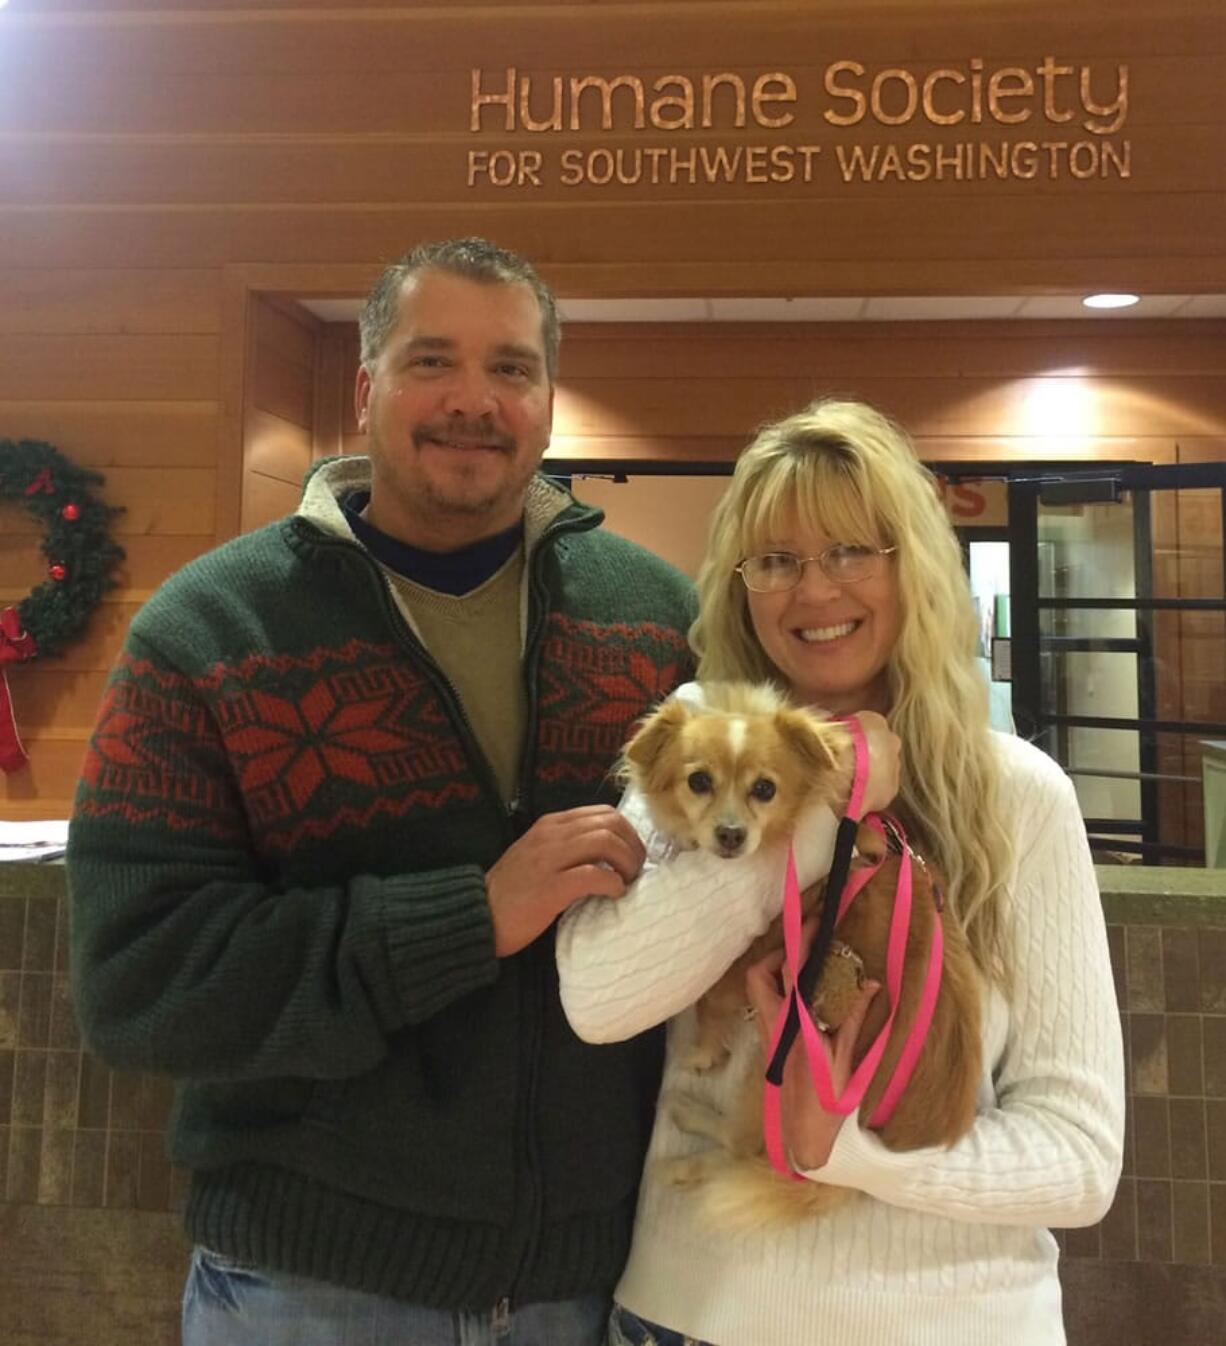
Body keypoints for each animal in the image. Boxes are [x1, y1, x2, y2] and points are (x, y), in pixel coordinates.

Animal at [619, 689, 985, 1227]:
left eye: (764, 789)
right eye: (699, 781)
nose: (730, 834)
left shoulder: (747, 956)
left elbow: (709, 1007)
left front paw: (705, 1053)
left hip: (777, 1061)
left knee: (743, 1144)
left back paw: (686, 1144)